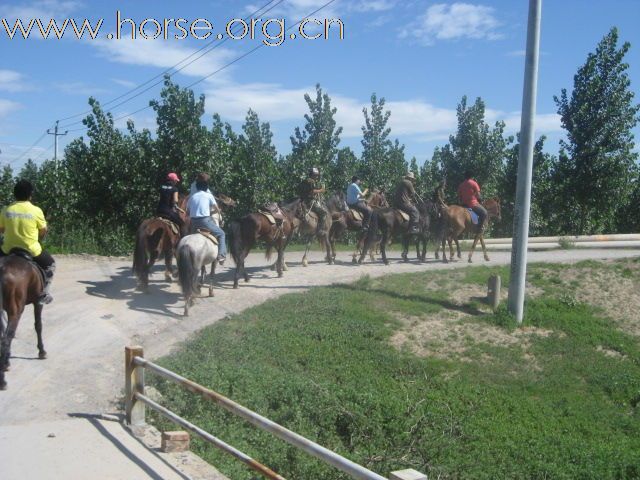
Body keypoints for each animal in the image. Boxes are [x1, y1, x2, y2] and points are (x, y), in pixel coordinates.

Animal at [0, 253, 47, 388]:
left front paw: (7, 361)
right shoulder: (38, 302)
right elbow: (38, 325)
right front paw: (42, 351)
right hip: (15, 311)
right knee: (5, 339)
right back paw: (2, 380)